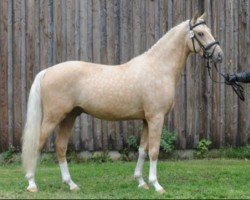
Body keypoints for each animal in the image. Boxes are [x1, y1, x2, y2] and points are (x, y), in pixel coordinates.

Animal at [22, 12, 224, 194]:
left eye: (209, 31)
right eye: (200, 33)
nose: (219, 56)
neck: (158, 67)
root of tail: (48, 71)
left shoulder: (146, 120)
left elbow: (142, 150)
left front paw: (141, 182)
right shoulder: (156, 118)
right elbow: (154, 151)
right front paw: (156, 185)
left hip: (69, 117)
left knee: (61, 147)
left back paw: (71, 185)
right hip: (53, 118)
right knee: (37, 146)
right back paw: (32, 184)